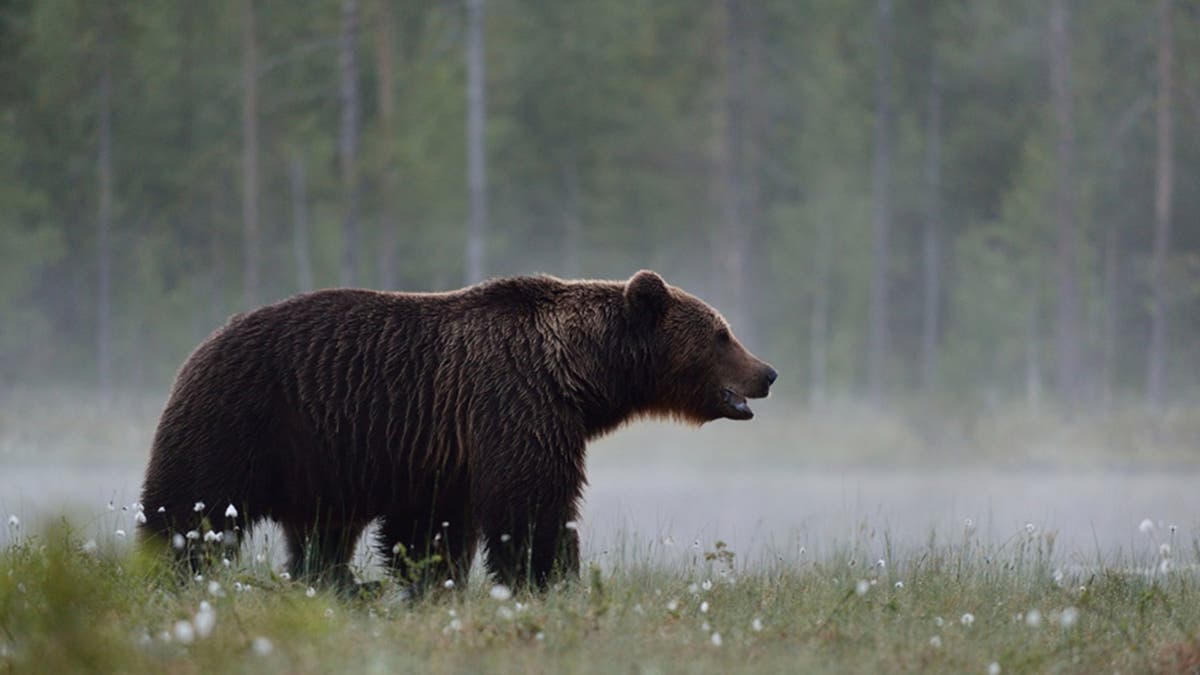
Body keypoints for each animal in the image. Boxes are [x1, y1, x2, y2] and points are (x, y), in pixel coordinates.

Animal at [137, 270, 776, 593]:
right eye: (721, 333)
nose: (767, 372)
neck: (577, 374)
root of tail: (201, 346)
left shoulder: (445, 449)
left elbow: (432, 529)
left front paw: (432, 582)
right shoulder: (514, 403)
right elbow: (531, 505)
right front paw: (552, 580)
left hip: (320, 461)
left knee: (322, 533)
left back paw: (341, 583)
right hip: (241, 419)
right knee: (191, 509)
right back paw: (170, 569)